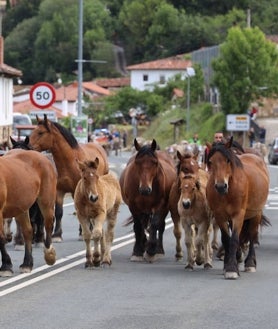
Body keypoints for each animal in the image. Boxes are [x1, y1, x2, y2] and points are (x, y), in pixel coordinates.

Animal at [206, 137, 270, 278]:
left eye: (227, 160)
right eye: (211, 161)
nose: (220, 186)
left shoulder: (238, 214)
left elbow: (234, 239)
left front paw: (231, 269)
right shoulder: (220, 215)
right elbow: (226, 239)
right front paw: (227, 265)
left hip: (256, 213)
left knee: (252, 234)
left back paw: (250, 263)